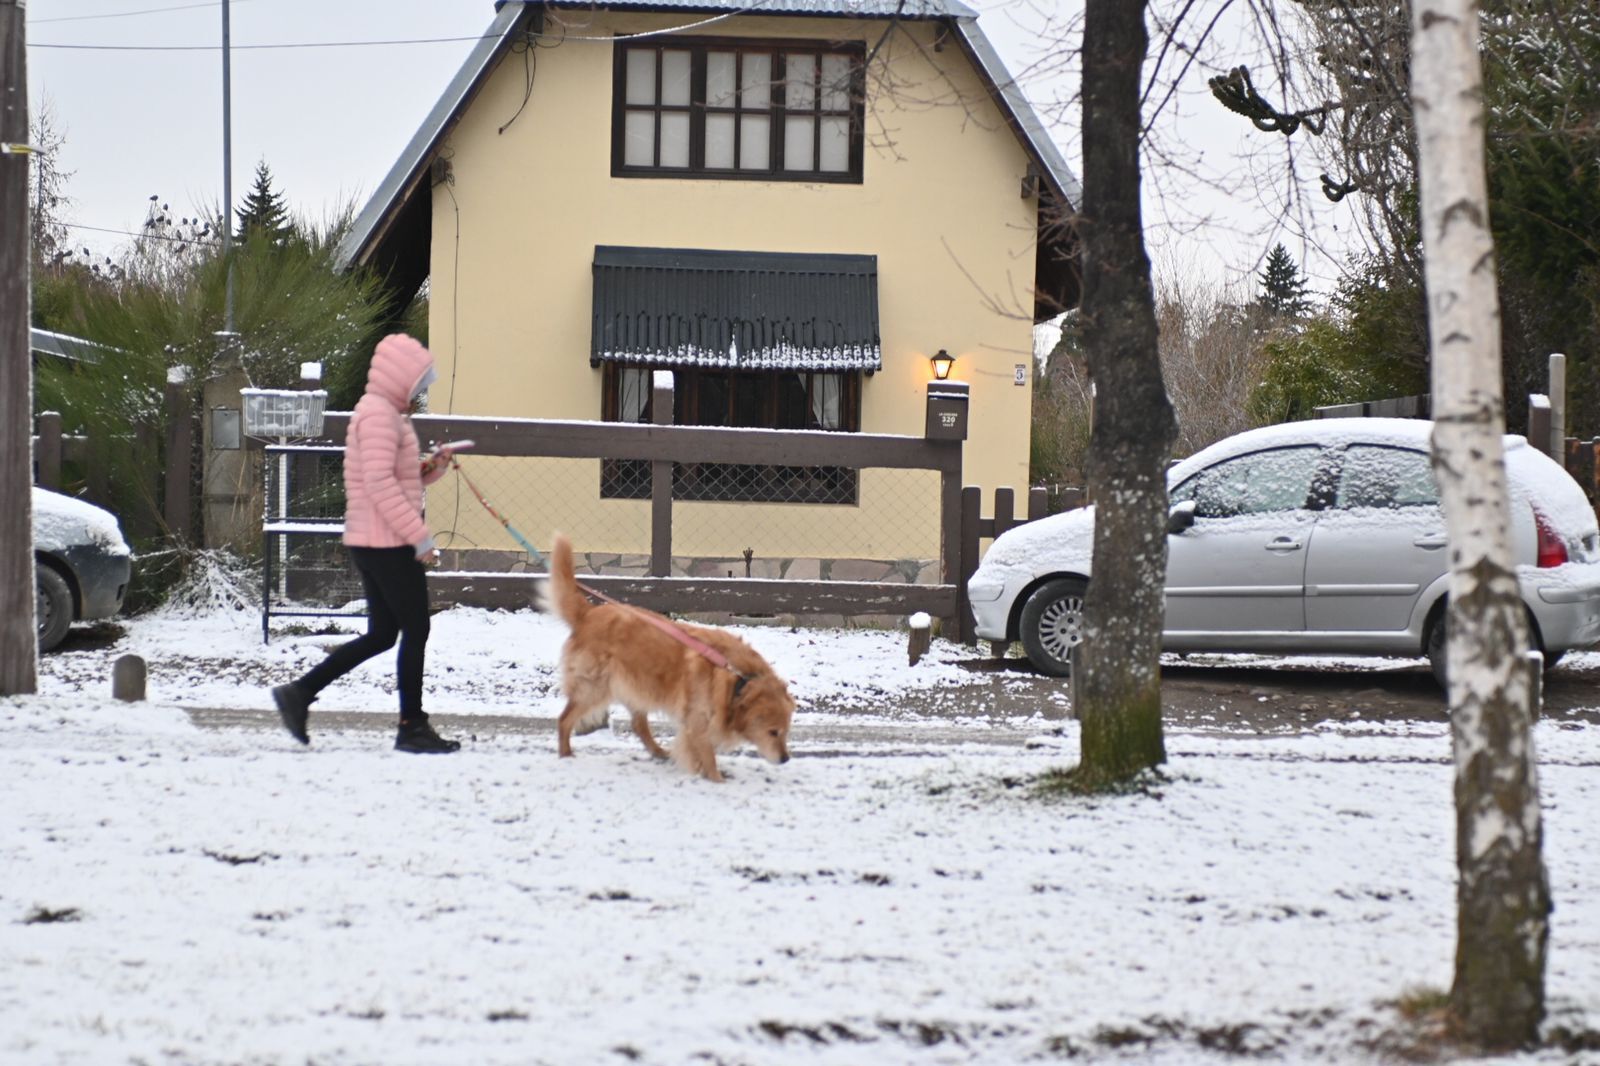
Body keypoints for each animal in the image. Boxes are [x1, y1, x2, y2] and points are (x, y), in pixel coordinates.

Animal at [544, 534, 793, 777]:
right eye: (773, 732)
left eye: (786, 731)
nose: (785, 759)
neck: (738, 679)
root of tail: (589, 613)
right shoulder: (698, 721)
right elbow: (708, 757)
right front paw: (716, 779)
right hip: (593, 687)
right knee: (564, 719)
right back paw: (565, 753)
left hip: (635, 686)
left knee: (638, 725)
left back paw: (658, 751)